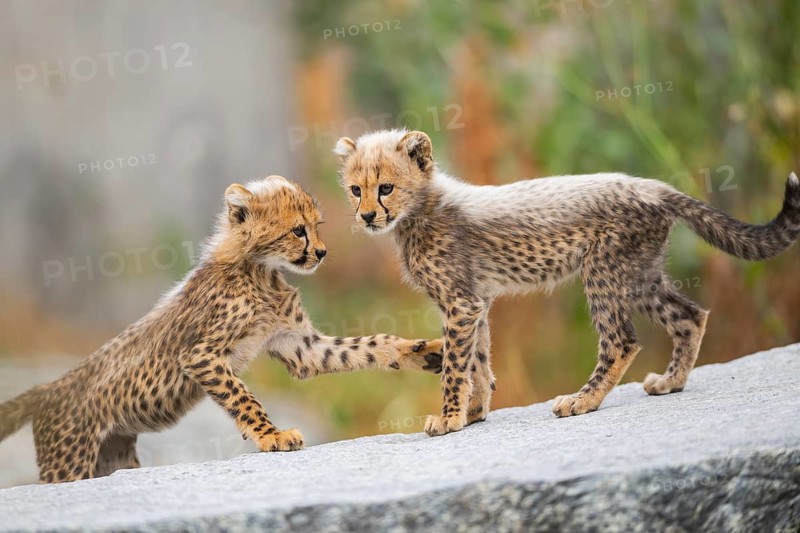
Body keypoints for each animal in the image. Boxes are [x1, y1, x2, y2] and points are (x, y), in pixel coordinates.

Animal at [0, 175, 443, 483]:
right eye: (299, 230)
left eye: (317, 226)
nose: (321, 253)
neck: (260, 270)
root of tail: (48, 386)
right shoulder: (201, 356)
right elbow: (244, 398)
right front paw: (272, 436)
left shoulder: (300, 346)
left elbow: (366, 344)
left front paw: (420, 351)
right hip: (71, 464)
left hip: (112, 458)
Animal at [335, 129, 800, 436]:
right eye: (356, 190)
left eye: (386, 188)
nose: (367, 216)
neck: (421, 208)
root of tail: (649, 185)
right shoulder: (475, 300)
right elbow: (478, 359)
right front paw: (474, 412)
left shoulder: (461, 302)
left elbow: (455, 365)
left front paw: (449, 418)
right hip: (639, 274)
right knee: (689, 315)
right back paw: (671, 382)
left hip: (604, 272)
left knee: (621, 340)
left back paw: (582, 400)